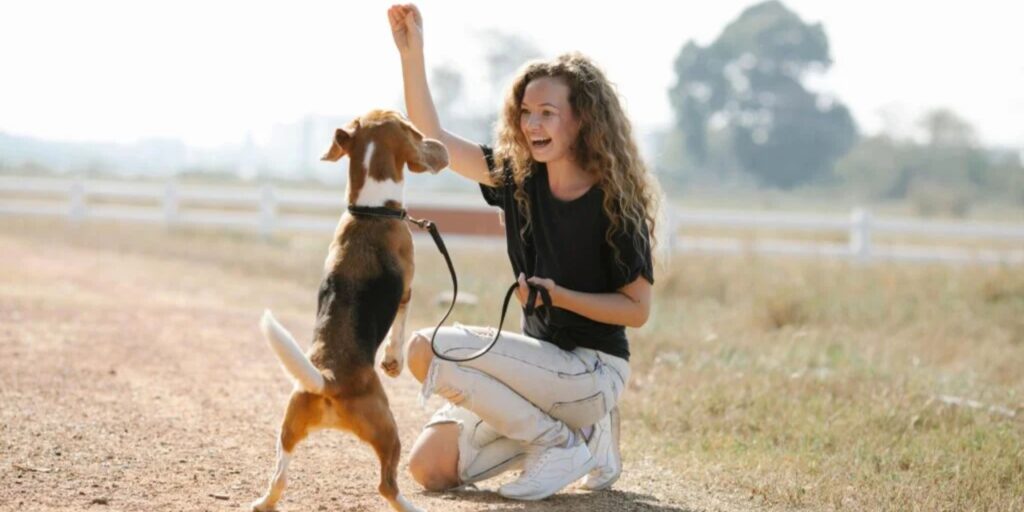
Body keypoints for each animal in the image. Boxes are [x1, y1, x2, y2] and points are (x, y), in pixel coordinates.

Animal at [251, 109, 448, 512]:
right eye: (410, 128)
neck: (370, 211)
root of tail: (328, 378)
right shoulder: (406, 290)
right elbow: (399, 328)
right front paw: (393, 361)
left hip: (288, 427)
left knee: (279, 476)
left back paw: (264, 502)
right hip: (388, 429)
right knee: (386, 486)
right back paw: (411, 506)